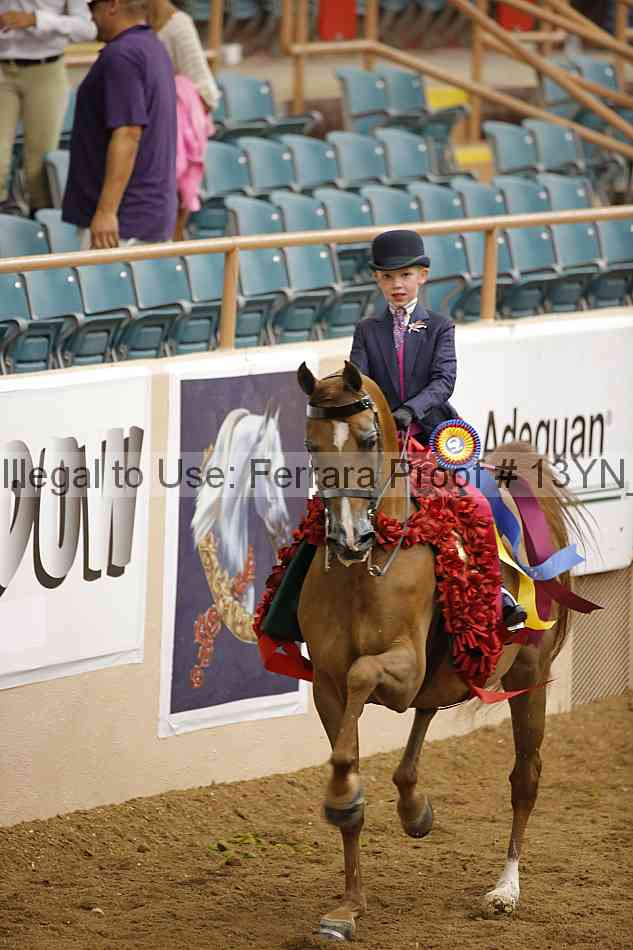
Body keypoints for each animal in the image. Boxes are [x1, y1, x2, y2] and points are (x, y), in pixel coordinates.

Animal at [296, 360, 577, 941]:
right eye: (311, 444)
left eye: (368, 439)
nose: (348, 537)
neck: (363, 573)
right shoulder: (327, 686)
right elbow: (346, 754)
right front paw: (348, 906)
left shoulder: (400, 667)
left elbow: (362, 678)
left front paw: (343, 797)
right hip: (448, 673)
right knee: (424, 723)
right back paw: (414, 807)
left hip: (526, 676)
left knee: (525, 778)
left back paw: (505, 890)